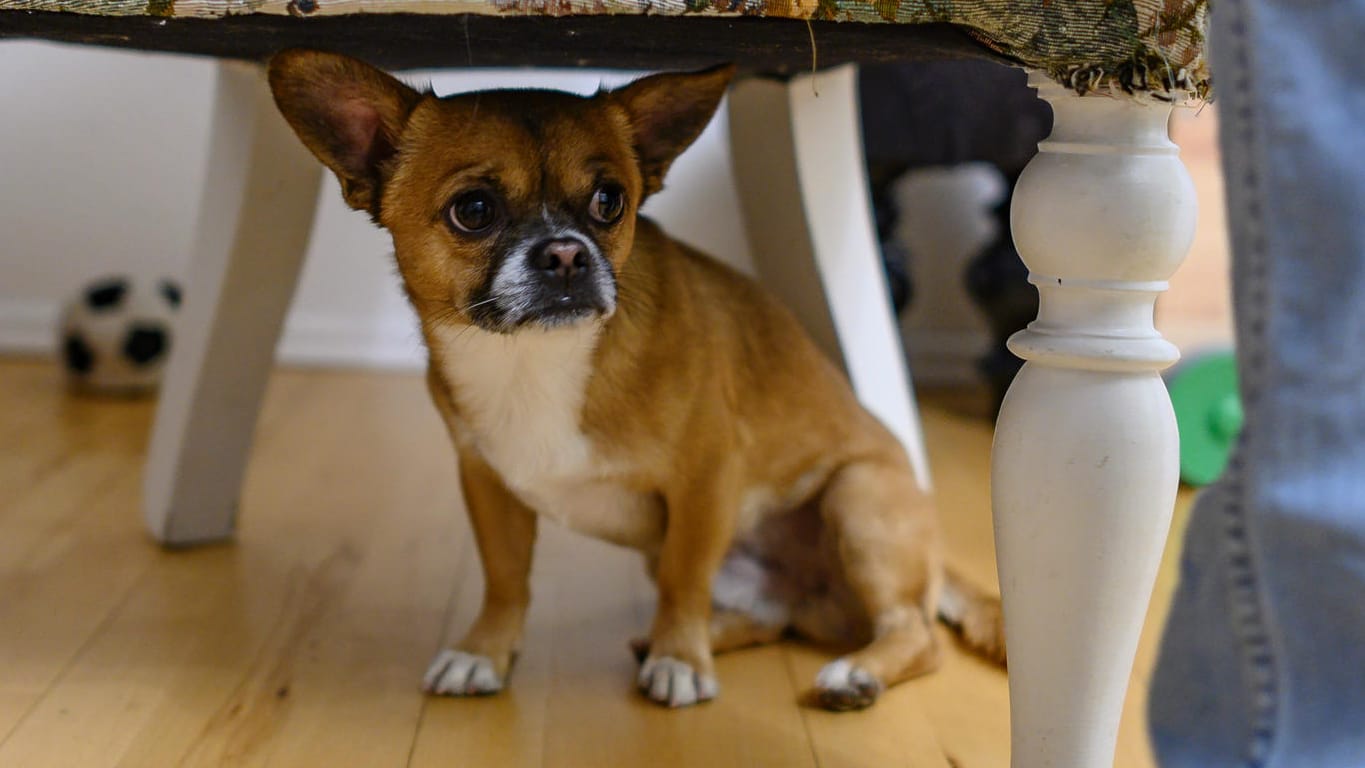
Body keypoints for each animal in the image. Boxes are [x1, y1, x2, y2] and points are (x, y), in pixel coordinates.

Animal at [268, 46, 1004, 709]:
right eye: (472, 210)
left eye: (608, 201)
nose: (566, 252)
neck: (534, 359)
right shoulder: (486, 483)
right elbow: (505, 578)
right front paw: (485, 652)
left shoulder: (704, 484)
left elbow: (684, 577)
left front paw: (681, 660)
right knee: (774, 620)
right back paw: (693, 640)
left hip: (857, 499)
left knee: (915, 634)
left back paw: (849, 673)